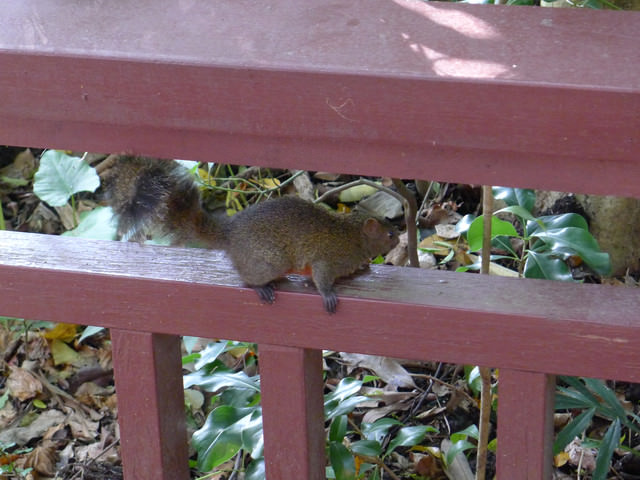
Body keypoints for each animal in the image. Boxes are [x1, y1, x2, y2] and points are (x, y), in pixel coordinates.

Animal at [100, 156, 398, 314]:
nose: (398, 238)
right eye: (390, 234)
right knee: (247, 278)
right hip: (269, 260)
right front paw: (328, 296)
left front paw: (363, 267)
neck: (353, 235)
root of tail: (231, 234)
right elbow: (322, 277)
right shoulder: (327, 258)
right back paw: (261, 287)